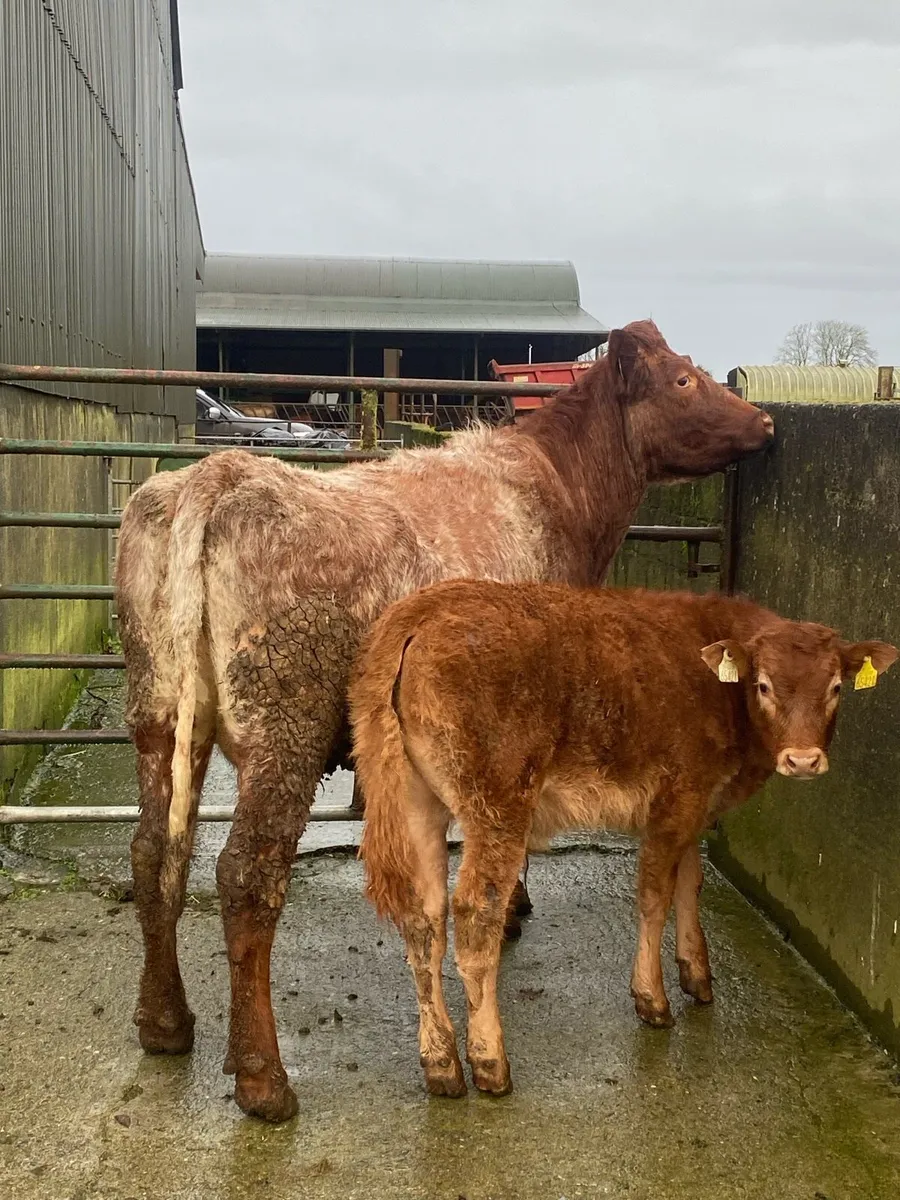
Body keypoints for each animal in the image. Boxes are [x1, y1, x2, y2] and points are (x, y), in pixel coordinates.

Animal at [115, 320, 773, 1122]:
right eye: (682, 379)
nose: (765, 422)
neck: (561, 490)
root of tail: (216, 479)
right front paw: (516, 905)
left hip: (158, 710)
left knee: (154, 853)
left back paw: (165, 1022)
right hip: (285, 725)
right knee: (246, 875)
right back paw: (263, 1078)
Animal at [352, 580, 896, 1098]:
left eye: (835, 687)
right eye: (763, 685)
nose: (803, 759)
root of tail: (422, 609)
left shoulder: (697, 805)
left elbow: (690, 883)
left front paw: (697, 975)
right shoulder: (676, 801)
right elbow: (655, 895)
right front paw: (652, 999)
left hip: (418, 804)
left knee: (423, 920)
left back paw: (441, 1065)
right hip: (498, 805)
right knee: (474, 914)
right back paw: (489, 1063)